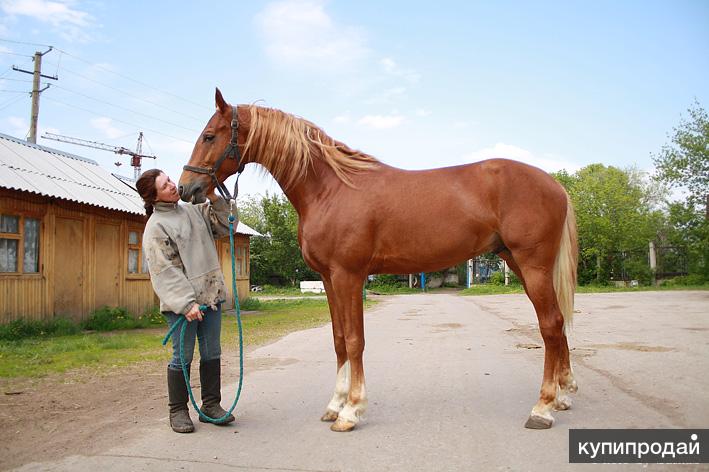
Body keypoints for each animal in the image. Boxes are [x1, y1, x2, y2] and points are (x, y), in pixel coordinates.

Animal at [177, 88, 576, 432]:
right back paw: (562, 396)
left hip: (533, 265)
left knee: (551, 325)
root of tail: (555, 185)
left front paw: (351, 411)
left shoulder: (349, 275)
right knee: (557, 326)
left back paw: (542, 408)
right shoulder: (329, 279)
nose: (185, 188)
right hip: (520, 264)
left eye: (209, 136)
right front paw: (335, 404)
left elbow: (355, 340)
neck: (330, 188)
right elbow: (339, 339)